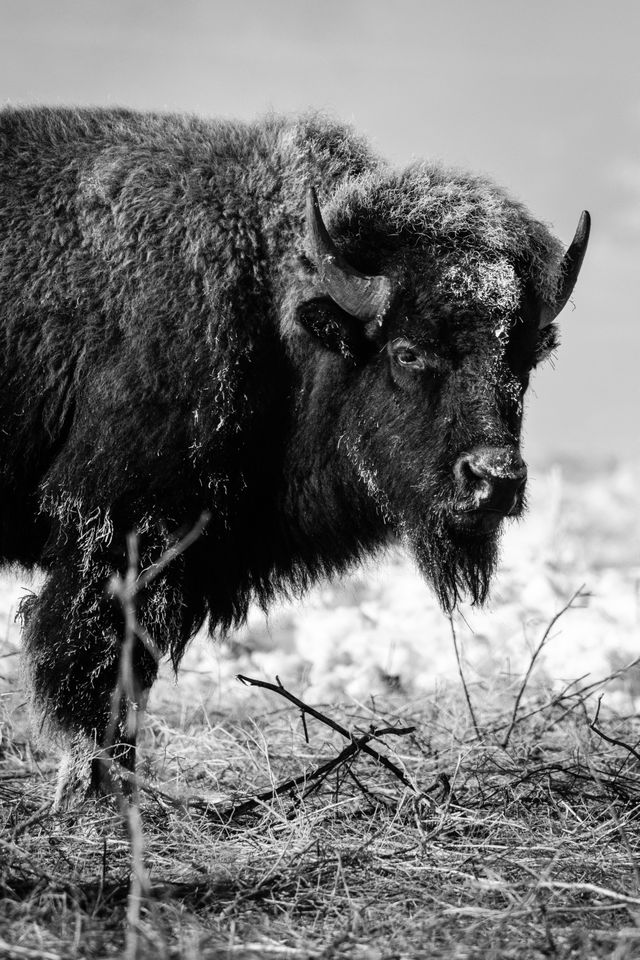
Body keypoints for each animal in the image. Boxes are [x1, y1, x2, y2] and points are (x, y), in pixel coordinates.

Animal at [0, 107, 592, 796]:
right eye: (407, 352)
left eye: (520, 359)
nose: (494, 480)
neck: (269, 305)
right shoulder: (116, 536)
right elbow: (93, 669)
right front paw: (93, 787)